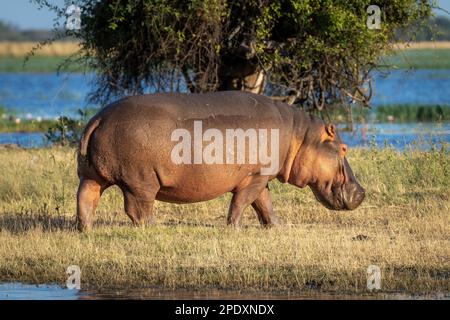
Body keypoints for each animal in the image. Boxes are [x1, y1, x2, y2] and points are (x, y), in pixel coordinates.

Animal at [76, 91, 366, 231]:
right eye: (344, 147)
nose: (362, 192)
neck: (301, 136)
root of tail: (98, 118)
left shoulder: (260, 177)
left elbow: (265, 204)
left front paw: (279, 226)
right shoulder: (255, 177)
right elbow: (242, 202)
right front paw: (235, 228)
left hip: (91, 175)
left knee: (86, 201)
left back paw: (85, 230)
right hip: (141, 182)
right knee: (138, 210)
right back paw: (154, 228)